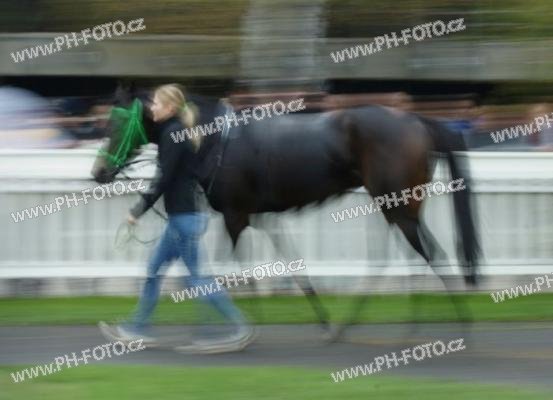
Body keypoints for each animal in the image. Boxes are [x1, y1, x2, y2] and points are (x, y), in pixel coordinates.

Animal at [91, 87, 480, 340]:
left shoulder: (235, 215)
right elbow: (288, 263)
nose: (98, 172)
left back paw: (456, 323)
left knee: (427, 253)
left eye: (116, 124)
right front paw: (318, 319)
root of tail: (417, 122)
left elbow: (229, 268)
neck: (215, 141)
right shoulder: (262, 216)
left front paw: (233, 326)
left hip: (395, 203)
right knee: (409, 254)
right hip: (396, 204)